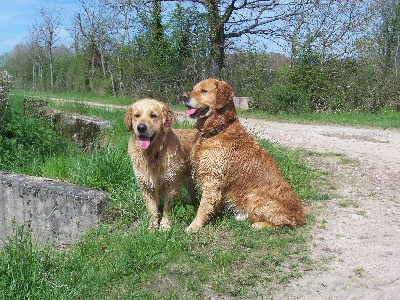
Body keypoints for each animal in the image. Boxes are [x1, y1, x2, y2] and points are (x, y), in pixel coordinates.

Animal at [124, 98, 198, 230]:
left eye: (153, 115)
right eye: (137, 115)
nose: (141, 127)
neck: (152, 153)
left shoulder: (172, 184)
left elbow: (166, 209)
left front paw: (164, 225)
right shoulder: (147, 186)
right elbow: (152, 210)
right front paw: (153, 227)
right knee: (191, 191)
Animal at [181, 78, 310, 231]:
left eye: (204, 90)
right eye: (194, 88)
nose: (183, 97)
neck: (219, 130)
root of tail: (300, 213)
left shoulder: (212, 179)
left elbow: (203, 207)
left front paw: (193, 226)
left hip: (253, 196)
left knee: (286, 222)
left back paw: (258, 224)